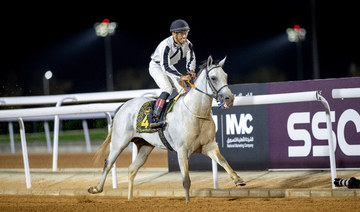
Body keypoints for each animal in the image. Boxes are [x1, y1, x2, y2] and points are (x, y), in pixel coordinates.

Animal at [89, 55, 248, 201]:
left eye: (226, 76)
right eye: (214, 77)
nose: (229, 99)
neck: (195, 112)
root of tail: (123, 106)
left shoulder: (208, 145)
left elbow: (223, 161)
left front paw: (238, 179)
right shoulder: (182, 150)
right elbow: (186, 181)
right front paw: (187, 202)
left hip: (145, 146)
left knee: (132, 169)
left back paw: (130, 199)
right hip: (119, 142)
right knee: (108, 163)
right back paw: (96, 188)